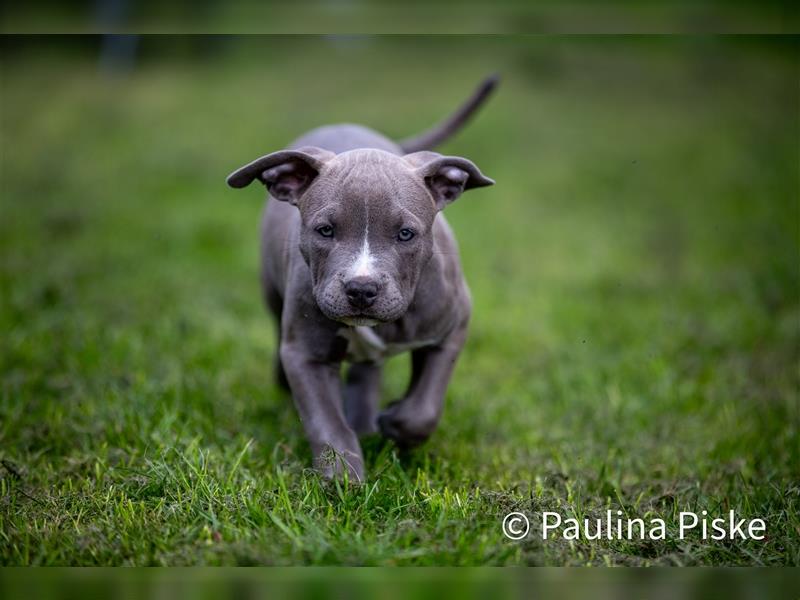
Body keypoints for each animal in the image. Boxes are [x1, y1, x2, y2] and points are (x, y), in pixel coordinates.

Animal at [227, 75, 494, 480]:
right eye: (325, 231)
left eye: (406, 234)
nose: (361, 289)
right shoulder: (305, 354)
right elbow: (325, 421)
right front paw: (342, 478)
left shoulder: (452, 327)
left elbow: (424, 408)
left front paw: (394, 423)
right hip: (272, 294)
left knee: (368, 371)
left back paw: (368, 422)